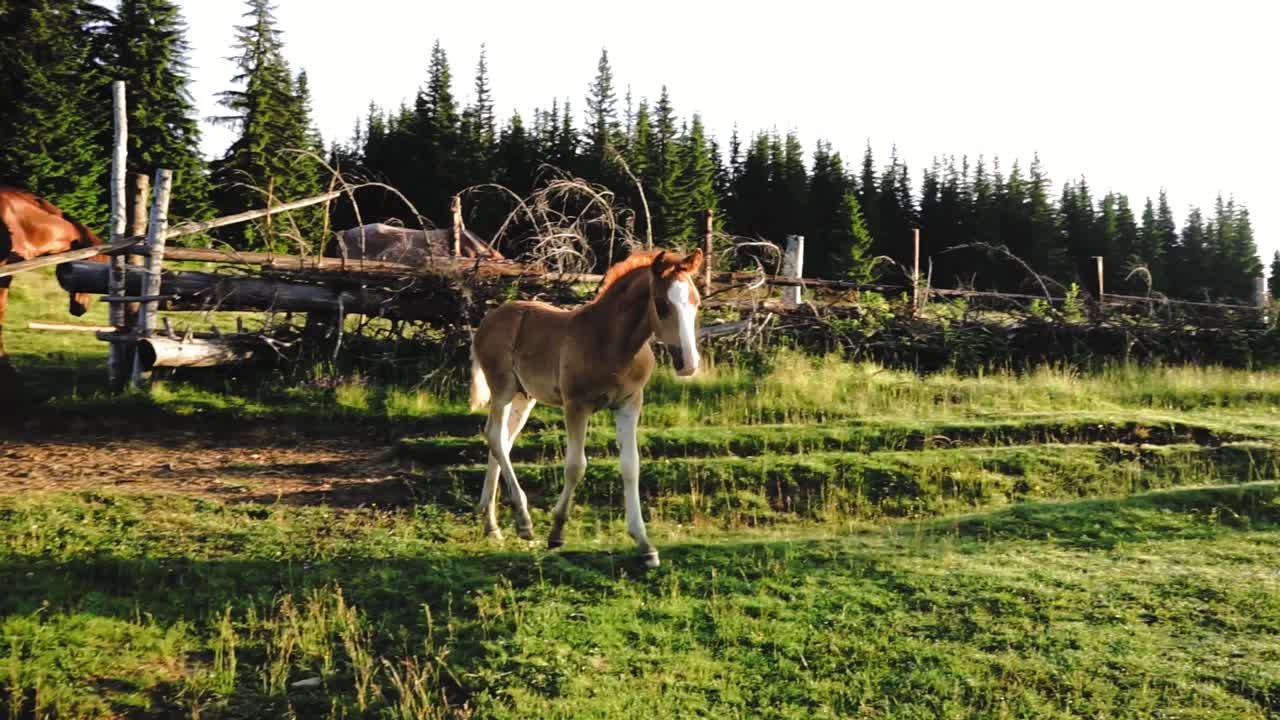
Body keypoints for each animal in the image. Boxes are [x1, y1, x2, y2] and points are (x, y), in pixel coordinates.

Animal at [471, 245, 706, 566]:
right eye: (661, 304)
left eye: (696, 302)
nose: (689, 364)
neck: (611, 341)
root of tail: (487, 320)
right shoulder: (576, 405)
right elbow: (575, 466)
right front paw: (556, 532)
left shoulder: (629, 404)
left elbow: (631, 466)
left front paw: (645, 545)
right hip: (503, 388)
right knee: (495, 435)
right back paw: (524, 522)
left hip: (524, 396)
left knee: (501, 442)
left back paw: (493, 525)